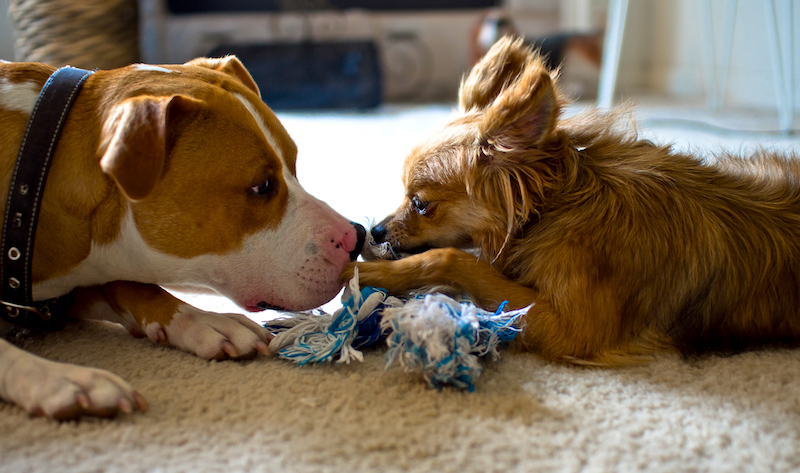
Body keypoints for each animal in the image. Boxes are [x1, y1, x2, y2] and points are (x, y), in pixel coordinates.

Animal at [0, 58, 362, 416]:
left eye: (294, 167)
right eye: (262, 186)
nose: (355, 236)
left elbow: (130, 286)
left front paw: (203, 320)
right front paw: (60, 378)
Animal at [346, 37, 800, 366]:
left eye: (421, 203)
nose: (375, 230)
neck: (554, 205)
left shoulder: (571, 328)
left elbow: (451, 259)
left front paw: (372, 273)